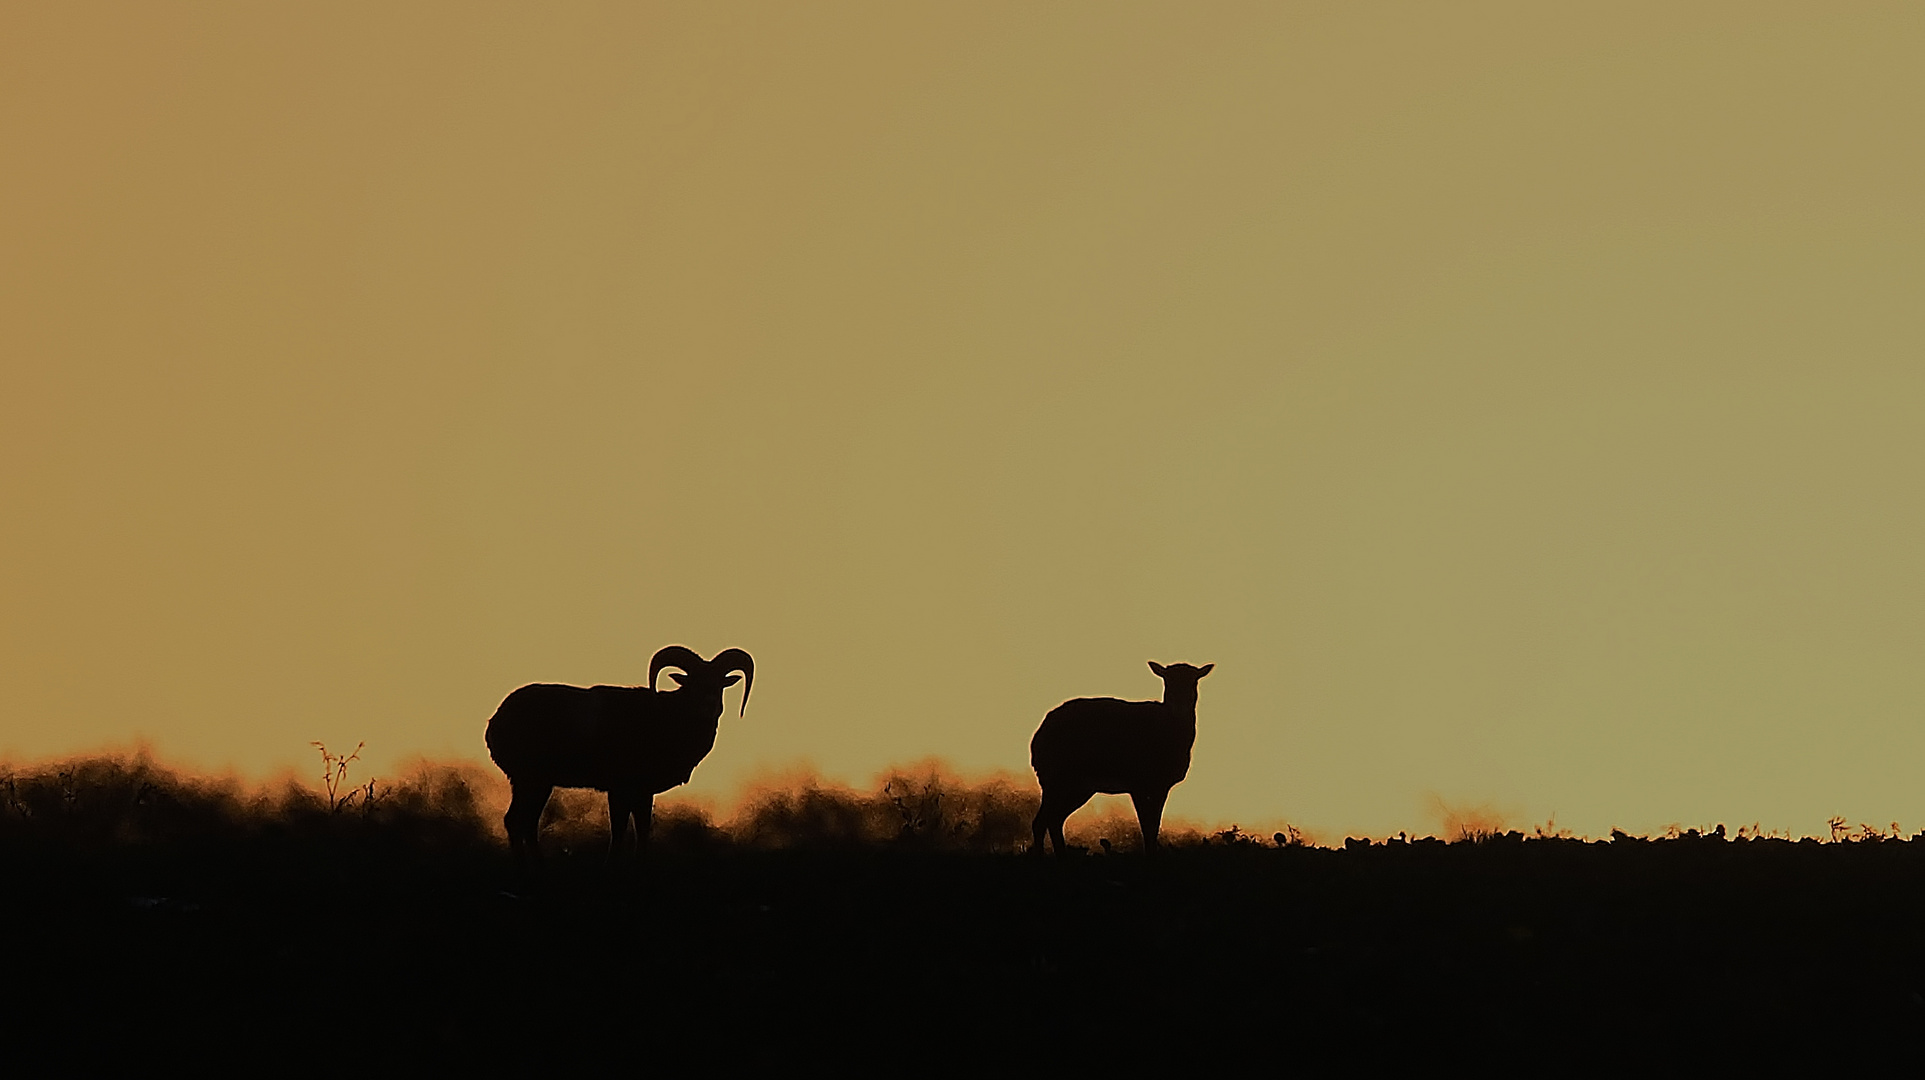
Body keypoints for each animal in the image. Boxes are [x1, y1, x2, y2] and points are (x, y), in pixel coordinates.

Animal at [481, 642, 750, 862]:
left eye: (719, 683)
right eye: (693, 682)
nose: (709, 705)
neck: (665, 722)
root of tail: (496, 721)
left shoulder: (642, 793)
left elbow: (642, 831)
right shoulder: (621, 790)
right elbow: (620, 831)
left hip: (533, 785)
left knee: (523, 823)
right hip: (533, 782)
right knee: (518, 822)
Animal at [1031, 662, 1208, 854]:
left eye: (1194, 681)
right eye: (1166, 681)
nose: (1179, 705)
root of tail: (1035, 741)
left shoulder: (1161, 785)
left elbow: (1154, 825)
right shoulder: (1138, 782)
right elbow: (1147, 825)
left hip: (1078, 786)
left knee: (1054, 819)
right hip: (1056, 778)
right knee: (1041, 821)